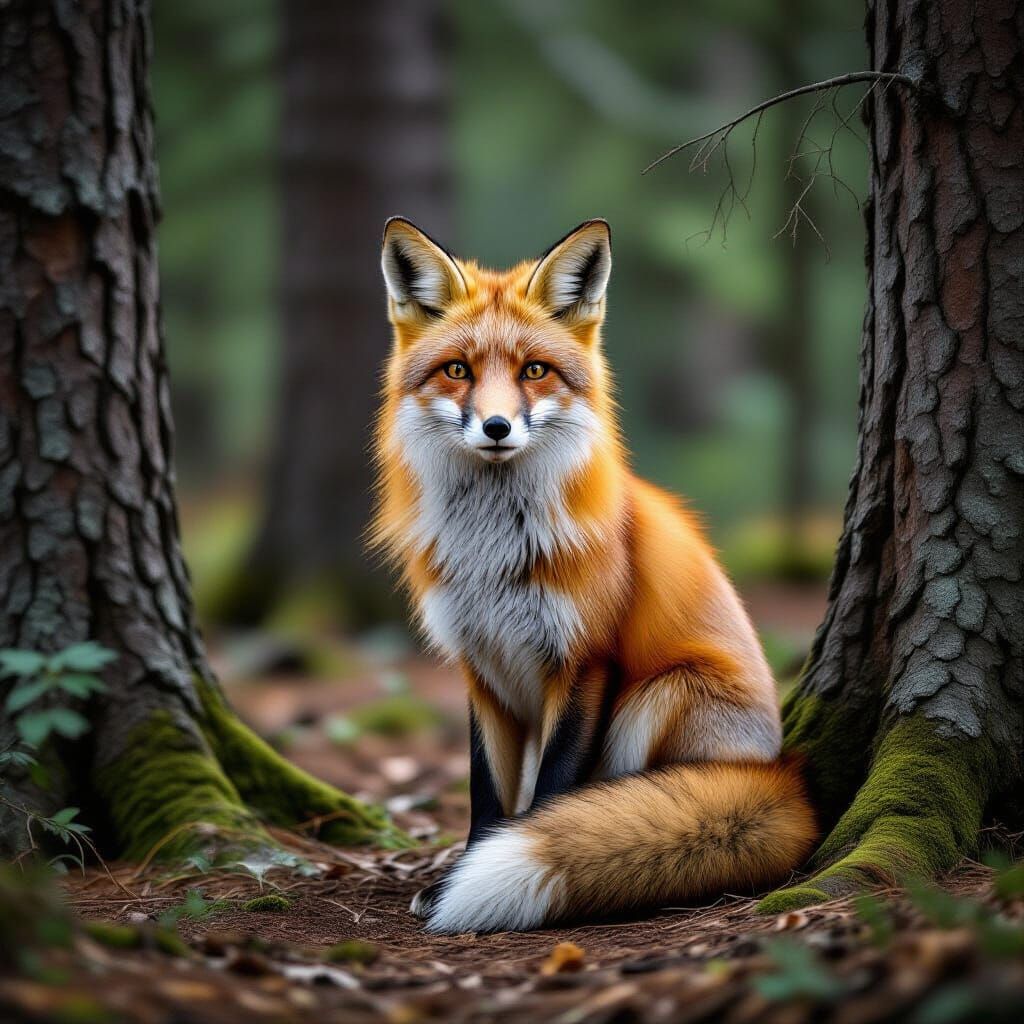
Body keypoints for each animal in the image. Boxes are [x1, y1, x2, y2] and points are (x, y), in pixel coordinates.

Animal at [371, 216, 817, 934]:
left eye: (534, 370)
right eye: (458, 370)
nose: (497, 427)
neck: (494, 556)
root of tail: (785, 773)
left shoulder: (583, 659)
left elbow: (551, 793)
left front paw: (509, 863)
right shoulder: (481, 667)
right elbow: (485, 794)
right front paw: (463, 870)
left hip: (656, 698)